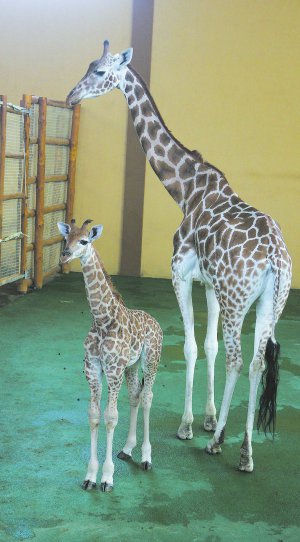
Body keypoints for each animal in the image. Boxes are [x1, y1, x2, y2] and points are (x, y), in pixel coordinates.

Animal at [57, 220, 163, 492]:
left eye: (84, 241)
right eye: (66, 238)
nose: (65, 254)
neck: (102, 320)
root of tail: (155, 321)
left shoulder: (113, 368)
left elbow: (111, 417)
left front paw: (107, 478)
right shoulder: (92, 368)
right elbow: (94, 415)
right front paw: (90, 476)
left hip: (151, 360)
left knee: (148, 397)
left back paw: (146, 457)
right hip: (132, 367)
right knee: (136, 395)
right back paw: (127, 449)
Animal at [66, 41, 290, 472]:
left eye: (100, 72)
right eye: (87, 64)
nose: (71, 96)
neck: (185, 190)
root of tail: (274, 256)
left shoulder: (181, 276)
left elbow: (190, 346)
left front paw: (189, 426)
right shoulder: (211, 285)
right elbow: (208, 346)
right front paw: (207, 417)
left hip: (239, 301)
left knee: (239, 359)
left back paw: (220, 444)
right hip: (271, 301)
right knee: (256, 361)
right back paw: (245, 450)